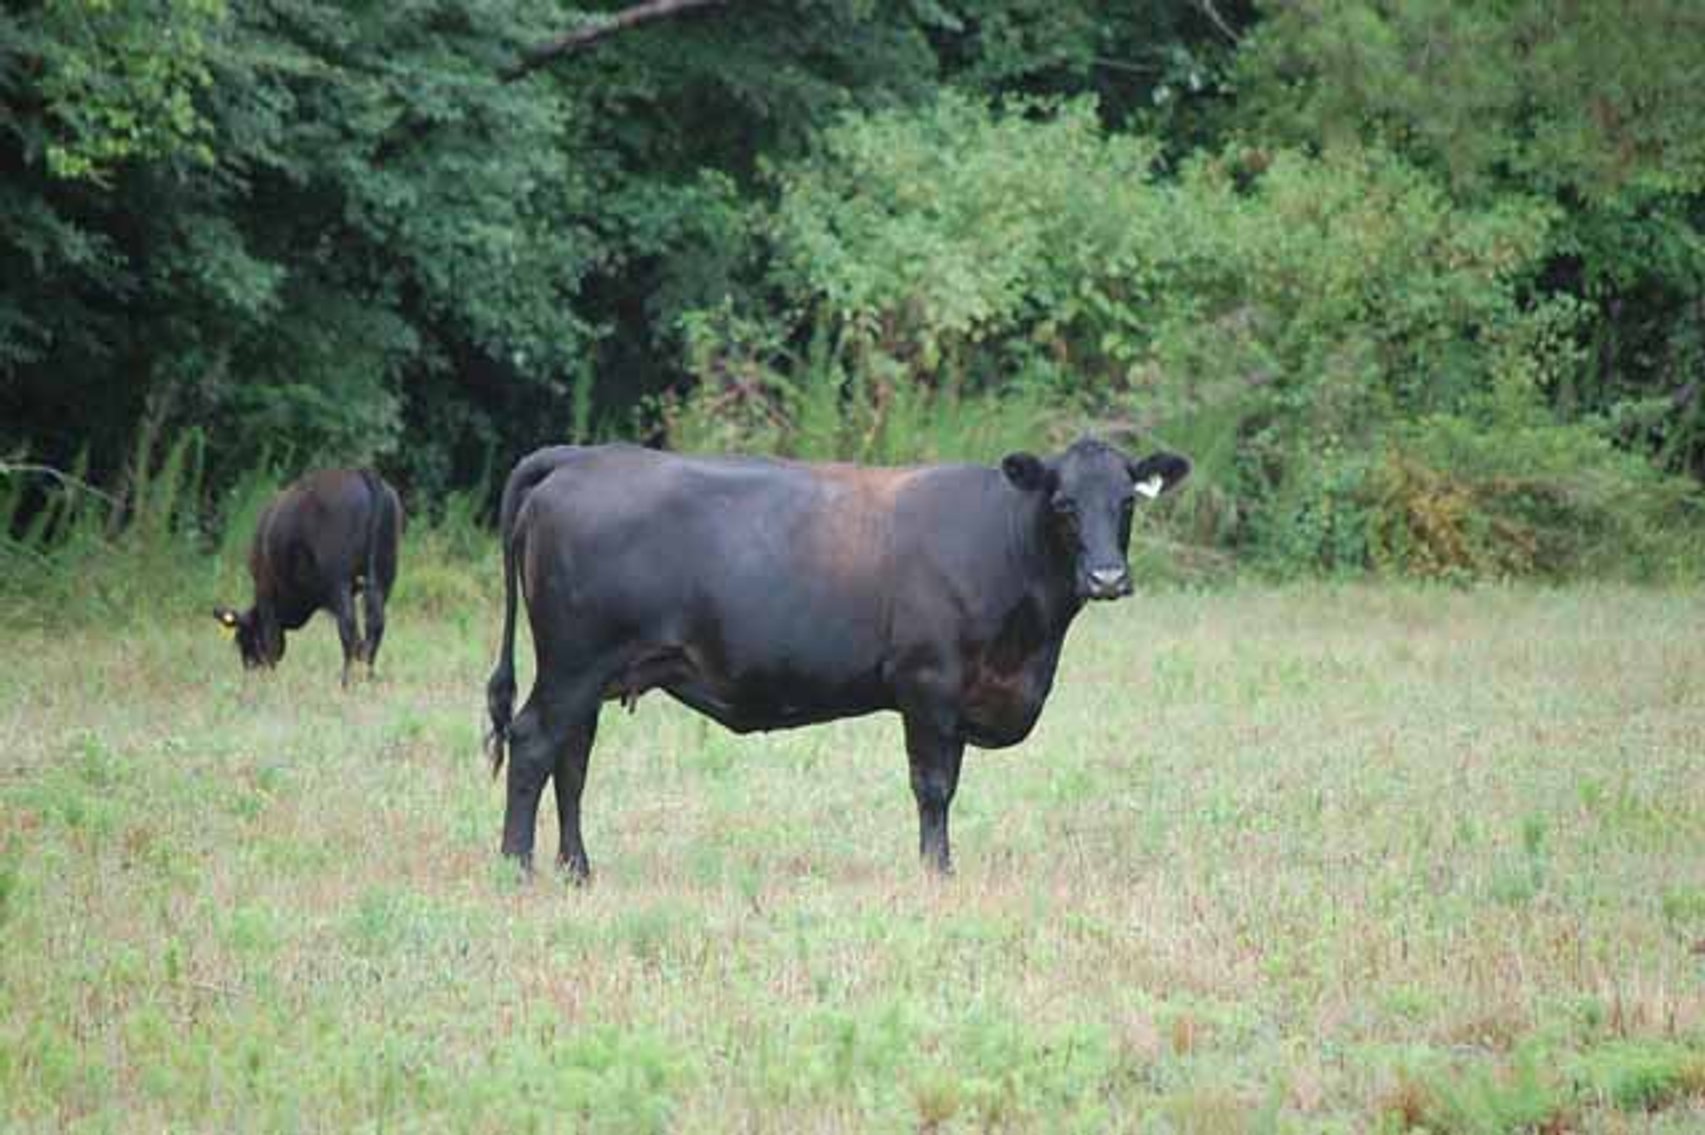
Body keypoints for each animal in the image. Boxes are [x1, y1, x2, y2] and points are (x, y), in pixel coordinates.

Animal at [214, 468, 403, 687]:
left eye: (242, 638)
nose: (250, 669)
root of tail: (362, 473)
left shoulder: (265, 588)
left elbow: (271, 640)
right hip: (384, 576)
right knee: (375, 624)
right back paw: (368, 676)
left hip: (339, 582)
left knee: (349, 627)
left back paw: (346, 681)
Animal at [484, 439, 1189, 879]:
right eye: (1063, 504)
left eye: (1127, 502)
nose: (1107, 577)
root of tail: (582, 457)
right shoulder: (928, 685)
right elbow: (934, 787)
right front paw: (937, 871)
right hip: (574, 664)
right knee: (534, 744)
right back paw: (517, 867)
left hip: (594, 673)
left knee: (572, 760)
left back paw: (577, 870)